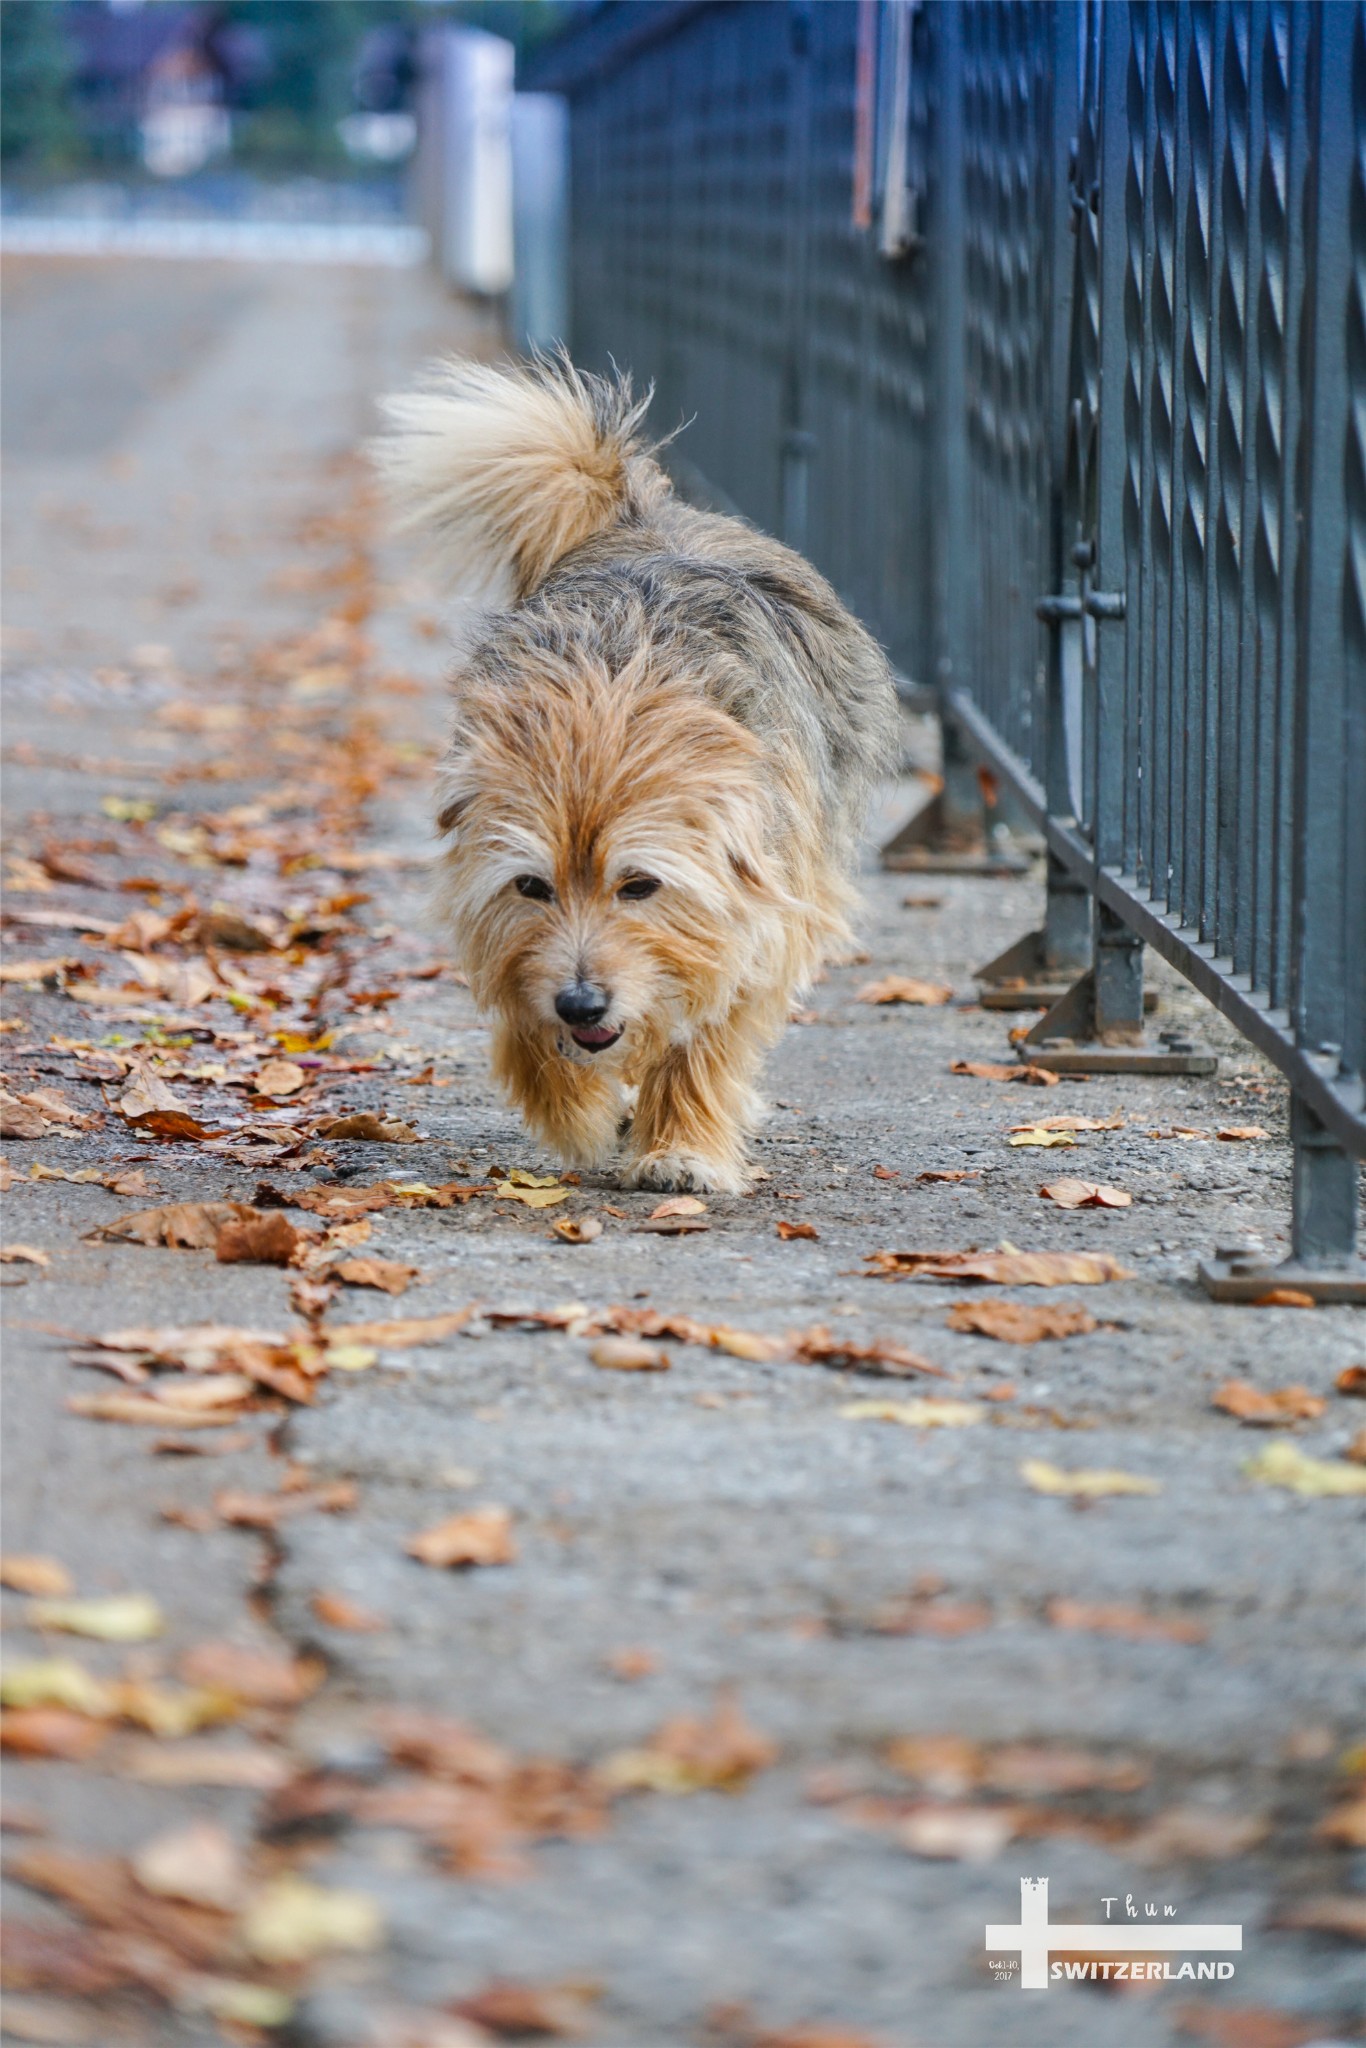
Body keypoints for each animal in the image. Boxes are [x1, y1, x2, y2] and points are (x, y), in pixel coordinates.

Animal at [378, 358, 901, 1196]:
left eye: (641, 885)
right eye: (531, 886)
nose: (581, 1002)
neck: (610, 702)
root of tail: (642, 507)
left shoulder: (764, 910)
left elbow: (706, 1035)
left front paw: (682, 1147)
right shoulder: (509, 937)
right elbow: (526, 1021)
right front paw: (572, 1109)